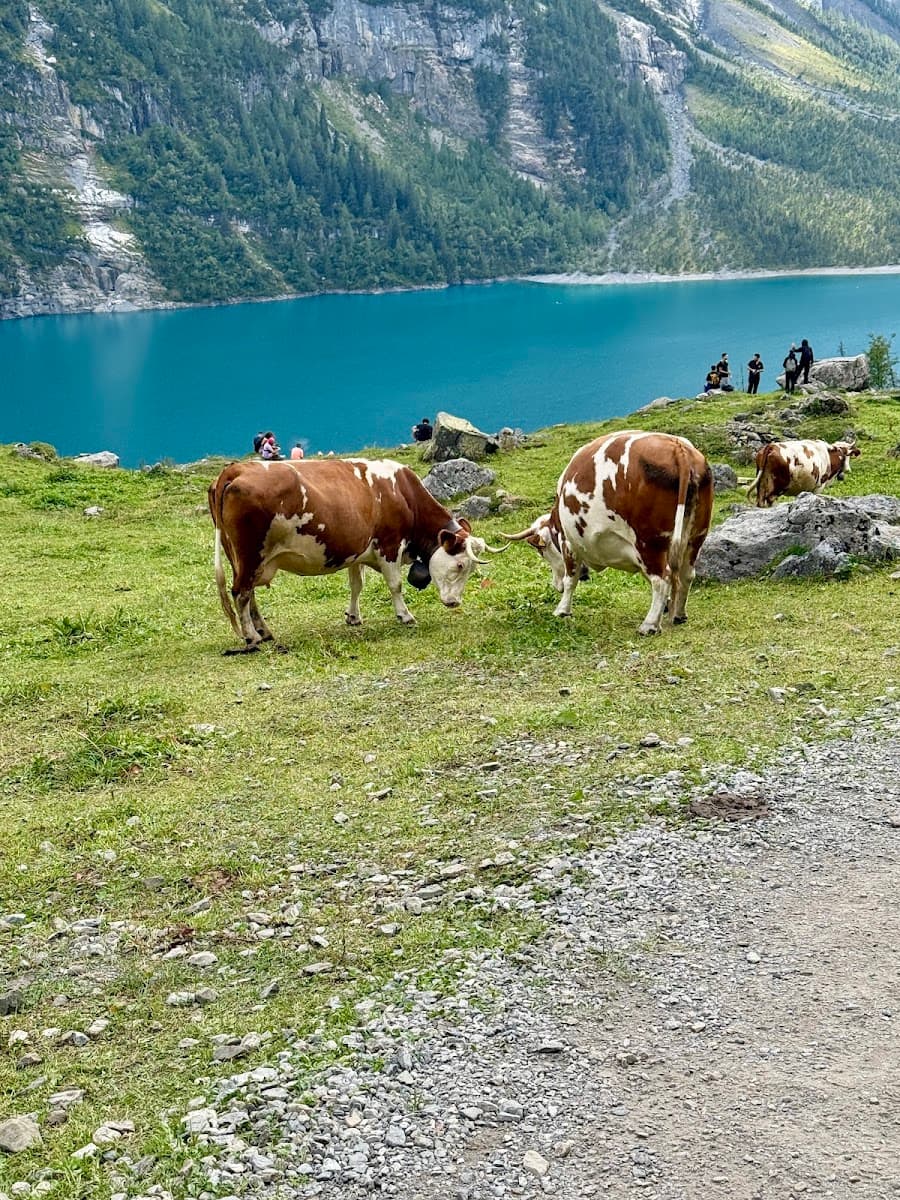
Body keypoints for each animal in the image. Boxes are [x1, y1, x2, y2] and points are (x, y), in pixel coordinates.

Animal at [208, 458, 503, 650]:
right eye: (460, 565)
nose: (454, 603)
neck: (403, 494)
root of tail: (235, 469)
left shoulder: (358, 549)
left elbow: (356, 585)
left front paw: (353, 617)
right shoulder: (389, 545)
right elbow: (395, 585)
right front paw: (405, 616)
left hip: (241, 557)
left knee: (248, 594)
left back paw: (264, 631)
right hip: (251, 553)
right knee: (241, 592)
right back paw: (252, 637)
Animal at [502, 431, 714, 635]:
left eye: (542, 552)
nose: (556, 586)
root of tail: (679, 448)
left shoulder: (568, 543)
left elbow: (571, 579)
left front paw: (562, 609)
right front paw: (668, 606)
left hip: (648, 542)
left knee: (662, 578)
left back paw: (649, 625)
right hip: (695, 537)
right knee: (686, 574)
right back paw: (678, 615)